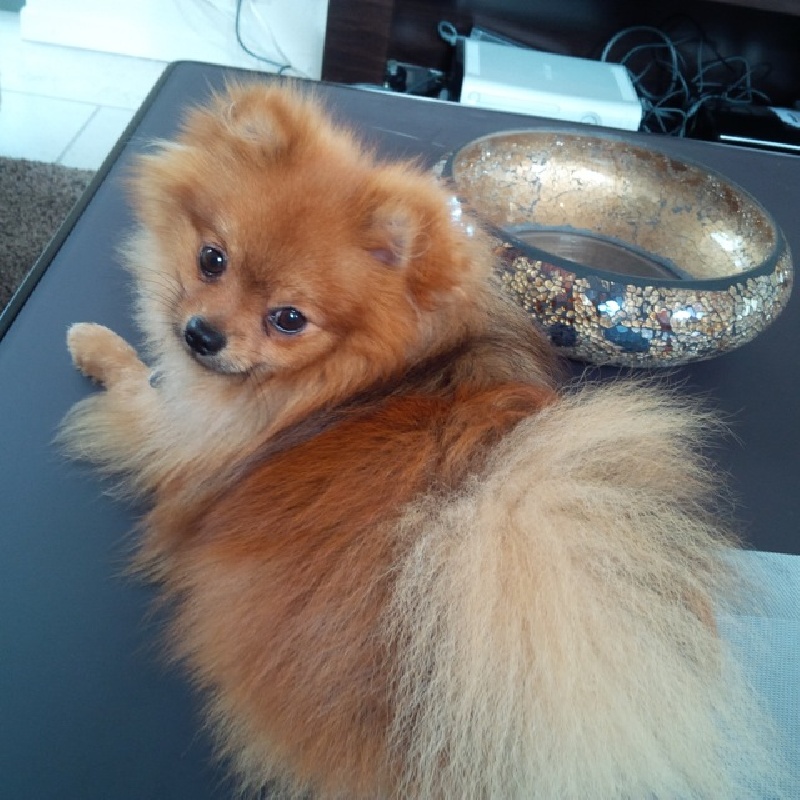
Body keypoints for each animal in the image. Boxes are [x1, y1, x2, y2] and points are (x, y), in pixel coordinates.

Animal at [60, 81, 785, 798]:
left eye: (289, 319)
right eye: (212, 259)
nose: (202, 335)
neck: (361, 374)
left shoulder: (181, 434)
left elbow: (138, 384)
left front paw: (96, 344)